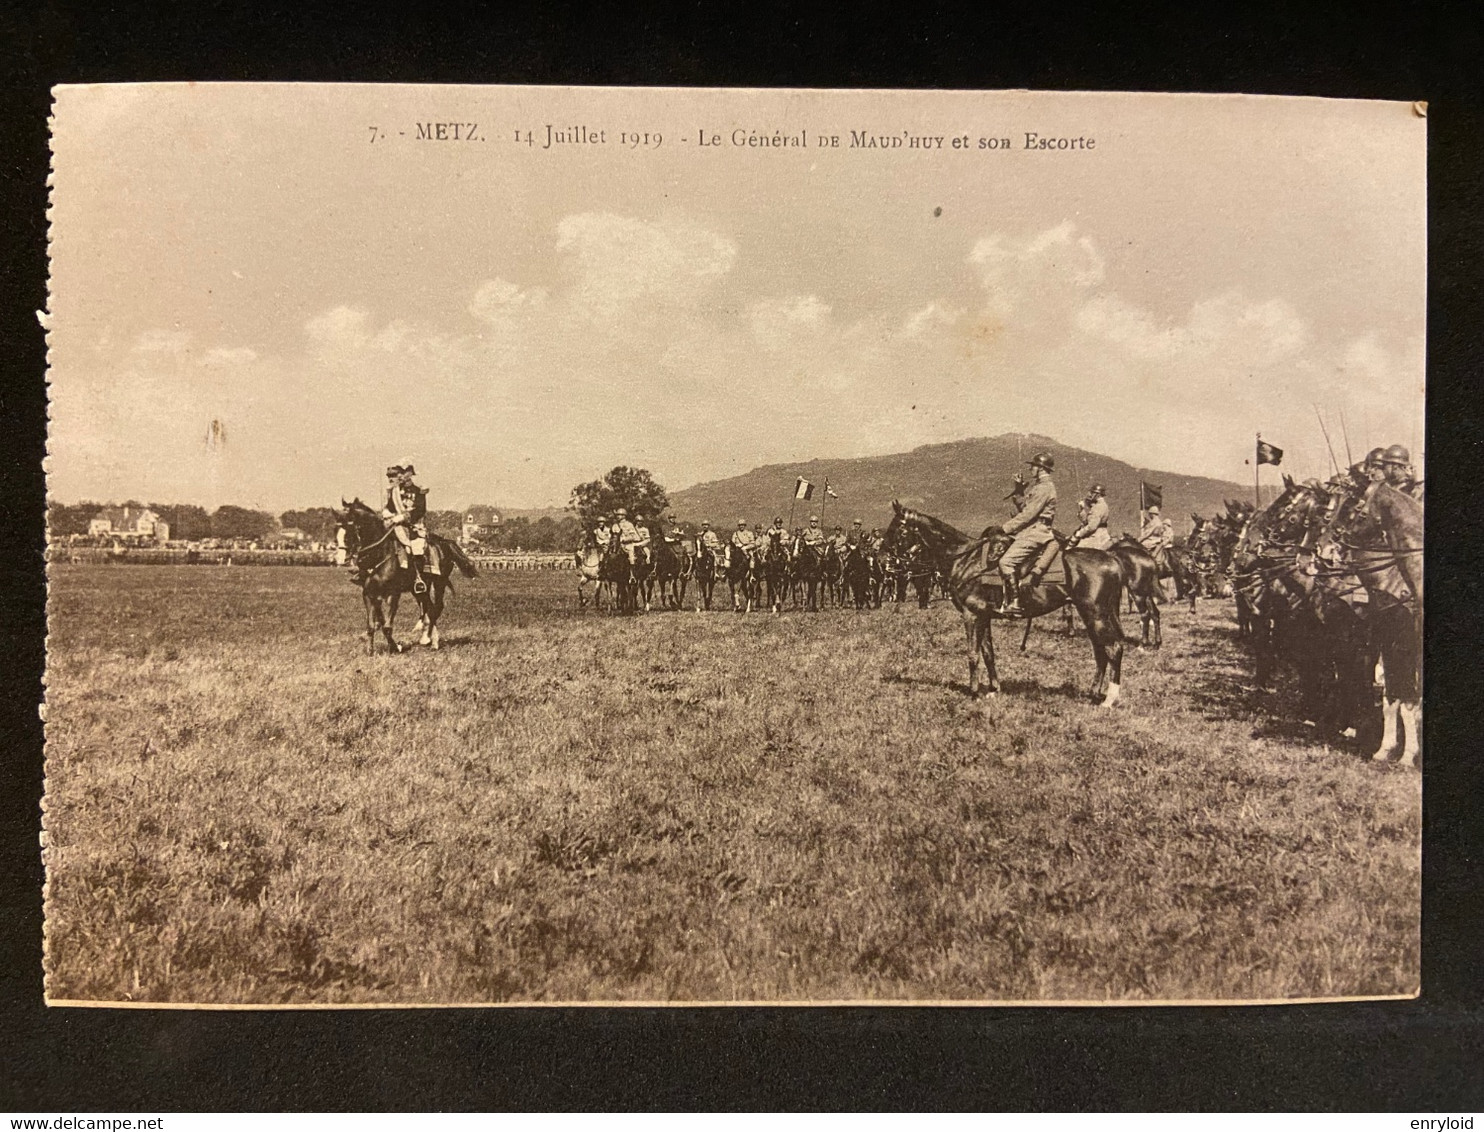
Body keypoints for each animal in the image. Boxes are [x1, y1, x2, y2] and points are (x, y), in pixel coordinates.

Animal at [335, 498, 474, 655]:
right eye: (337, 532)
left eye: (348, 532)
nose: (341, 559)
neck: (381, 555)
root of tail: (445, 541)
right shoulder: (369, 595)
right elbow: (372, 625)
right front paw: (371, 650)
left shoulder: (393, 595)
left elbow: (387, 626)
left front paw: (395, 647)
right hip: (420, 589)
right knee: (428, 608)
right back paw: (428, 637)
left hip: (439, 583)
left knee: (436, 608)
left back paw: (430, 640)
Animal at [878, 501, 1133, 703]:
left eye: (898, 529)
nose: (883, 561)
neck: (966, 560)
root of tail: (1112, 559)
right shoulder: (984, 616)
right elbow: (988, 653)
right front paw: (993, 689)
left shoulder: (971, 615)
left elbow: (972, 653)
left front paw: (974, 692)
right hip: (1089, 614)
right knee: (1100, 651)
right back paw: (1093, 693)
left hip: (1095, 614)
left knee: (1113, 648)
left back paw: (1110, 699)